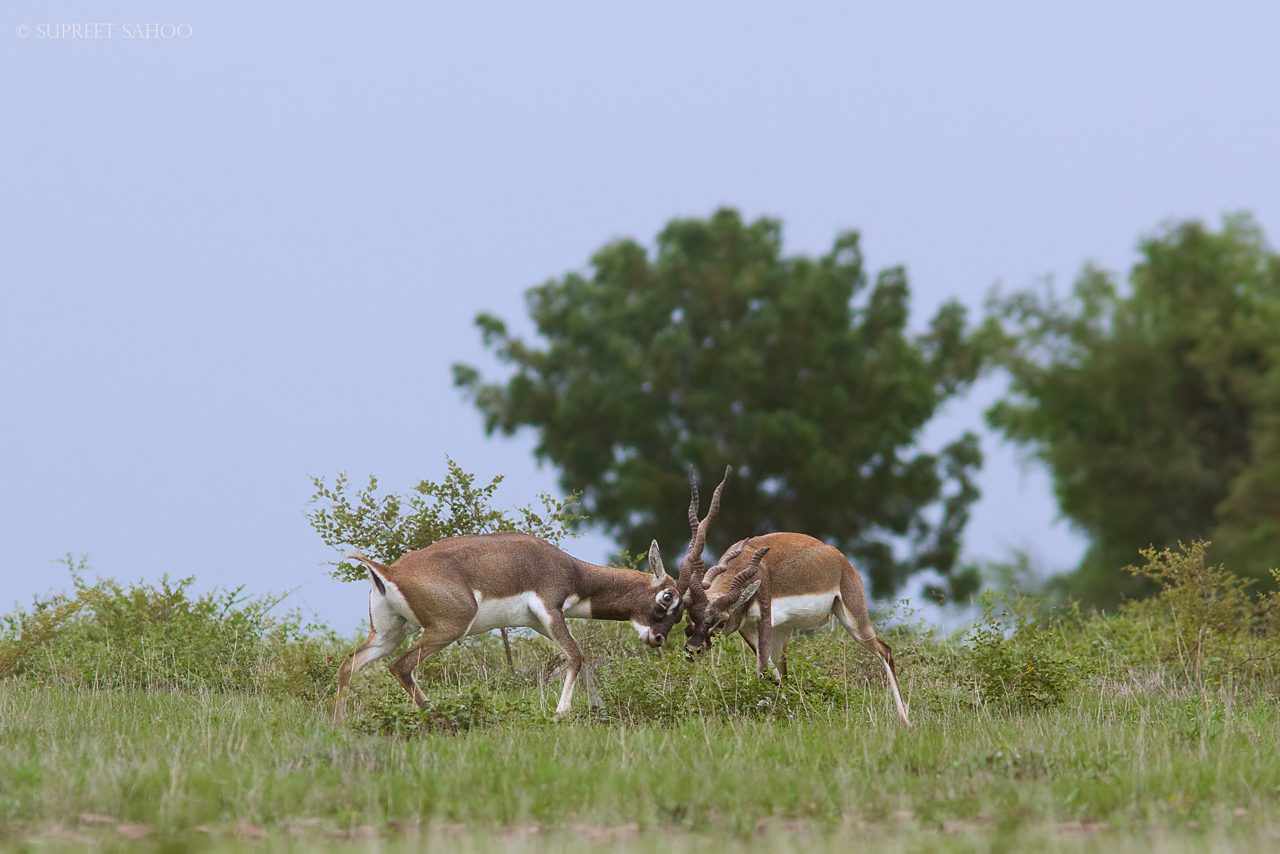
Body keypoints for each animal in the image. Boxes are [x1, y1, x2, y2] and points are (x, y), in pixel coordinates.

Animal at [691, 530, 911, 727]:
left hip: (855, 622)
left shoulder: (763, 620)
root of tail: (839, 557)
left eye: (721, 622)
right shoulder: (748, 629)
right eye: (692, 616)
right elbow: (770, 672)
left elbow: (762, 670)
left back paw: (905, 721)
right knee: (782, 672)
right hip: (781, 634)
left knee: (885, 650)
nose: (692, 649)